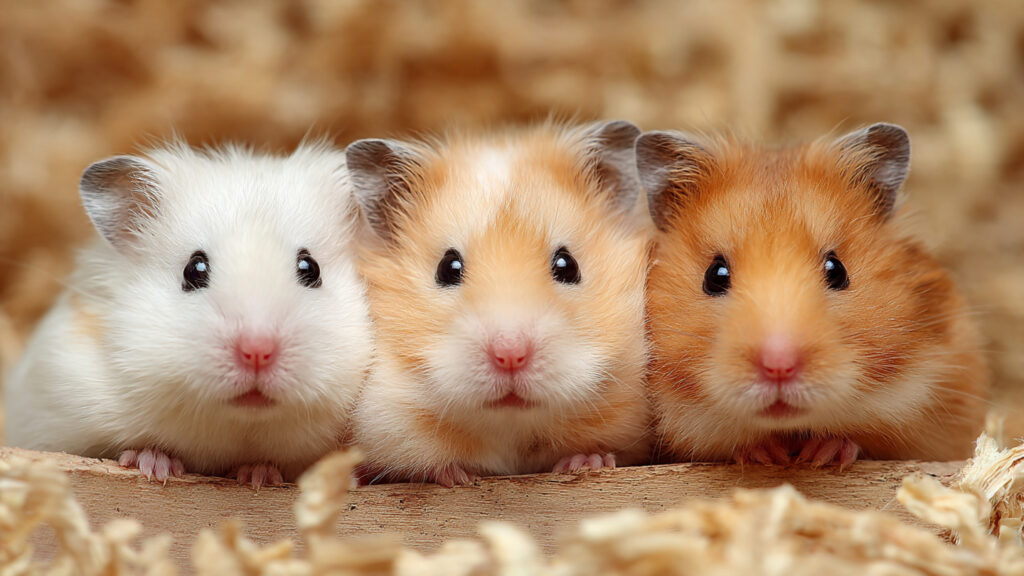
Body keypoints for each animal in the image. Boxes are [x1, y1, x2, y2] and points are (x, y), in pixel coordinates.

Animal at [4, 141, 374, 488]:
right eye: (194, 270)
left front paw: (259, 476)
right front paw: (154, 467)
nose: (257, 352)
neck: (240, 424)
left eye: (310, 268)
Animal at [347, 121, 651, 486]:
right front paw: (457, 477)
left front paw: (585, 463)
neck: (511, 427)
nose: (510, 355)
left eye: (568, 265)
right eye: (448, 268)